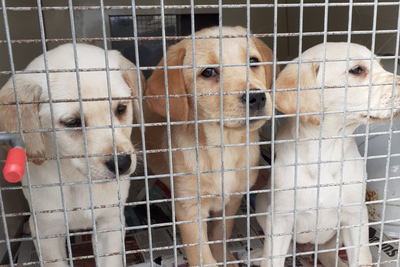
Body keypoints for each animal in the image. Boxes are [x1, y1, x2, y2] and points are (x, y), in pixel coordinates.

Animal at [134, 26, 278, 267]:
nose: (257, 97)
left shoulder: (233, 200)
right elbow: (201, 253)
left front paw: (225, 258)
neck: (224, 147)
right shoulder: (189, 210)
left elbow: (221, 234)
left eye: (253, 61)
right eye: (208, 72)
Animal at [247, 43, 400, 267]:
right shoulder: (280, 220)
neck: (328, 150)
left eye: (381, 65)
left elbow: (362, 257)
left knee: (327, 253)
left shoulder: (356, 216)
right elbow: (273, 259)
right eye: (357, 70)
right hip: (261, 203)